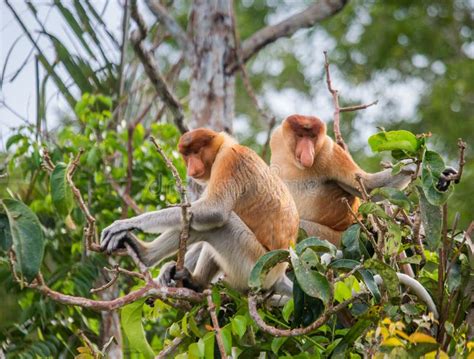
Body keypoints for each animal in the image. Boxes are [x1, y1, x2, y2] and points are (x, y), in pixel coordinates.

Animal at [268, 115, 416, 248]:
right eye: (300, 135)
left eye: (312, 137)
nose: (307, 153)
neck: (294, 163)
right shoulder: (277, 138)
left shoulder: (329, 151)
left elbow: (368, 187)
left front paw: (410, 165)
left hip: (330, 238)